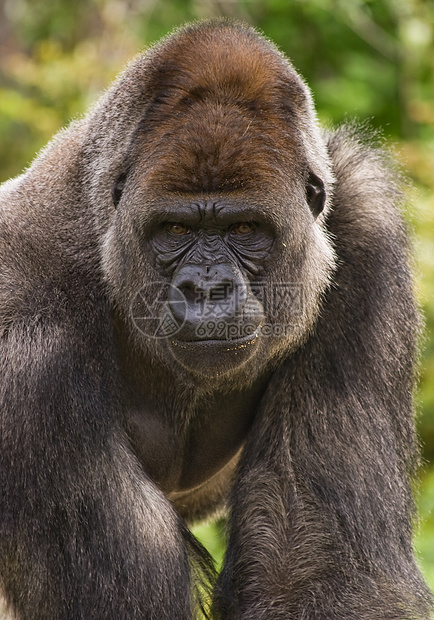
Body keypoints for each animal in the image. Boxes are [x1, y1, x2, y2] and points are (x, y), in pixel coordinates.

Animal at [0, 19, 430, 620]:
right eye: (175, 230)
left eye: (245, 228)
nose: (207, 290)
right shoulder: (24, 340)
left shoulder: (364, 225)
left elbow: (323, 573)